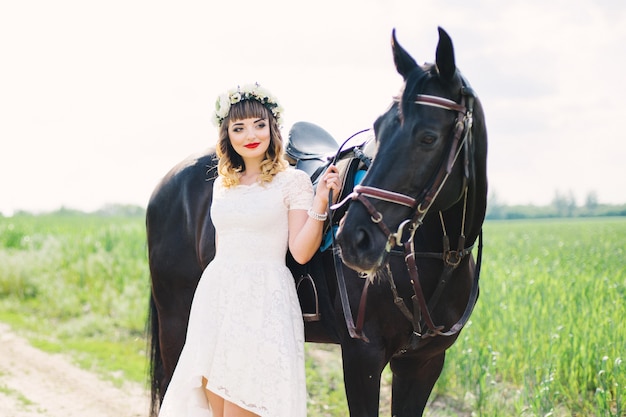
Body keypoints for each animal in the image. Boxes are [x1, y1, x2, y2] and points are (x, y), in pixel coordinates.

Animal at [145, 27, 482, 414]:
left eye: (428, 137)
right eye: (379, 129)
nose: (354, 239)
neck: (436, 258)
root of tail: (167, 182)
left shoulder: (423, 362)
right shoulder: (362, 355)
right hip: (176, 321)